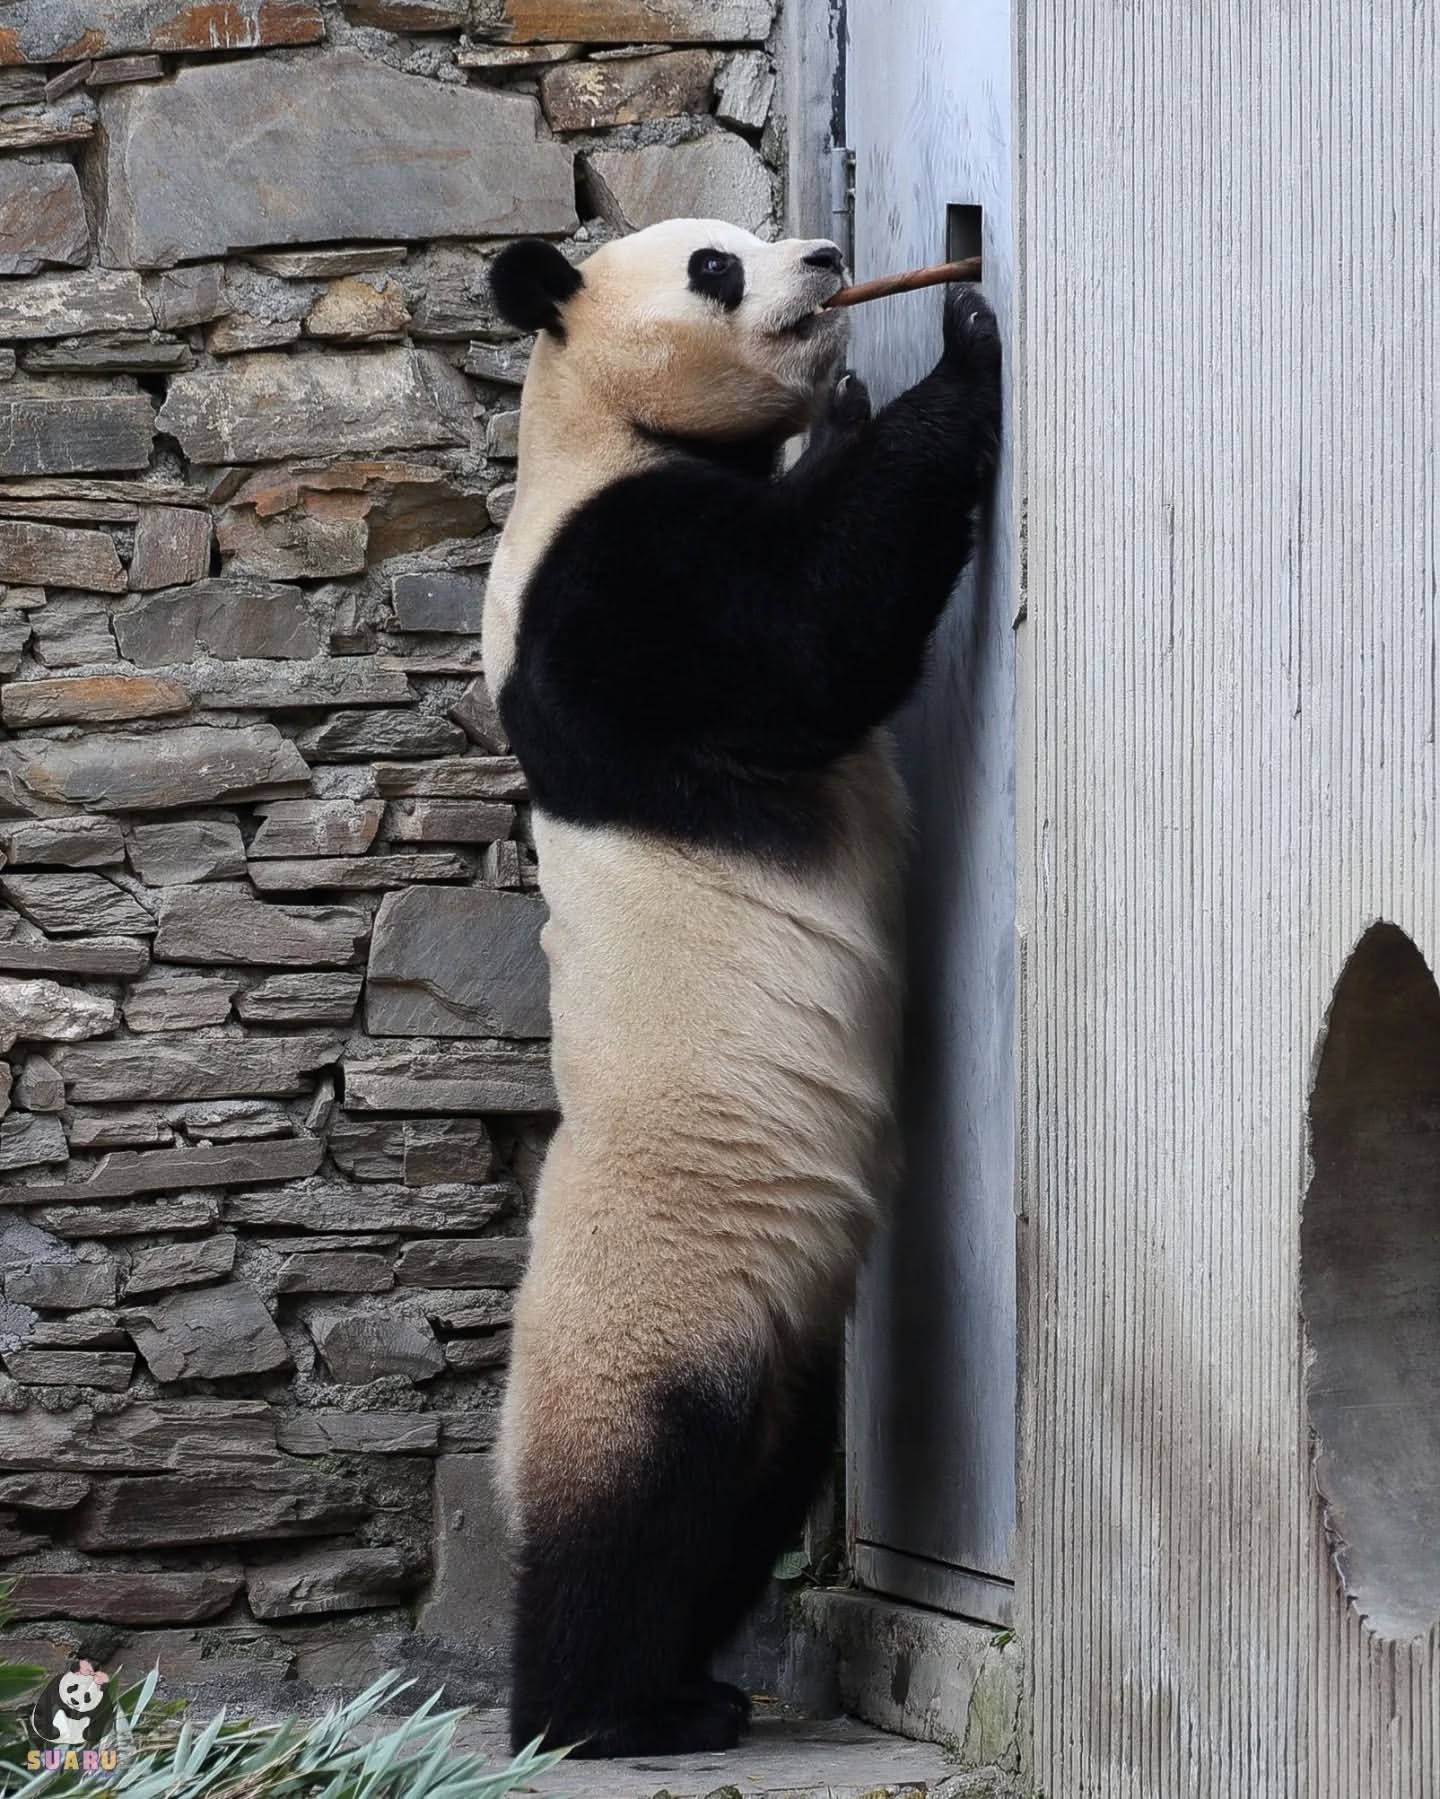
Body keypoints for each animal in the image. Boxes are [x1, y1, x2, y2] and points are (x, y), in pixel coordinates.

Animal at [482, 214, 1000, 1755]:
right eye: (715, 265)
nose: (826, 254)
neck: (588, 426)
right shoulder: (607, 595)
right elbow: (806, 636)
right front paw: (955, 349)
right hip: (659, 1301)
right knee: (634, 1505)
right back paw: (594, 1712)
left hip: (783, 1341)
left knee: (747, 1495)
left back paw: (684, 1684)